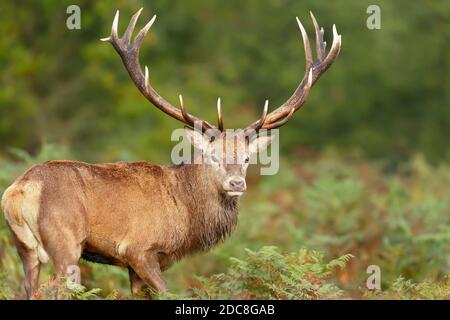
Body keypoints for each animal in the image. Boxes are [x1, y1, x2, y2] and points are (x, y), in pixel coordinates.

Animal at [0, 8, 342, 298]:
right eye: (213, 156)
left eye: (247, 159)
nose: (236, 183)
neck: (186, 219)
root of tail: (19, 190)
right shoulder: (139, 249)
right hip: (66, 242)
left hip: (24, 248)